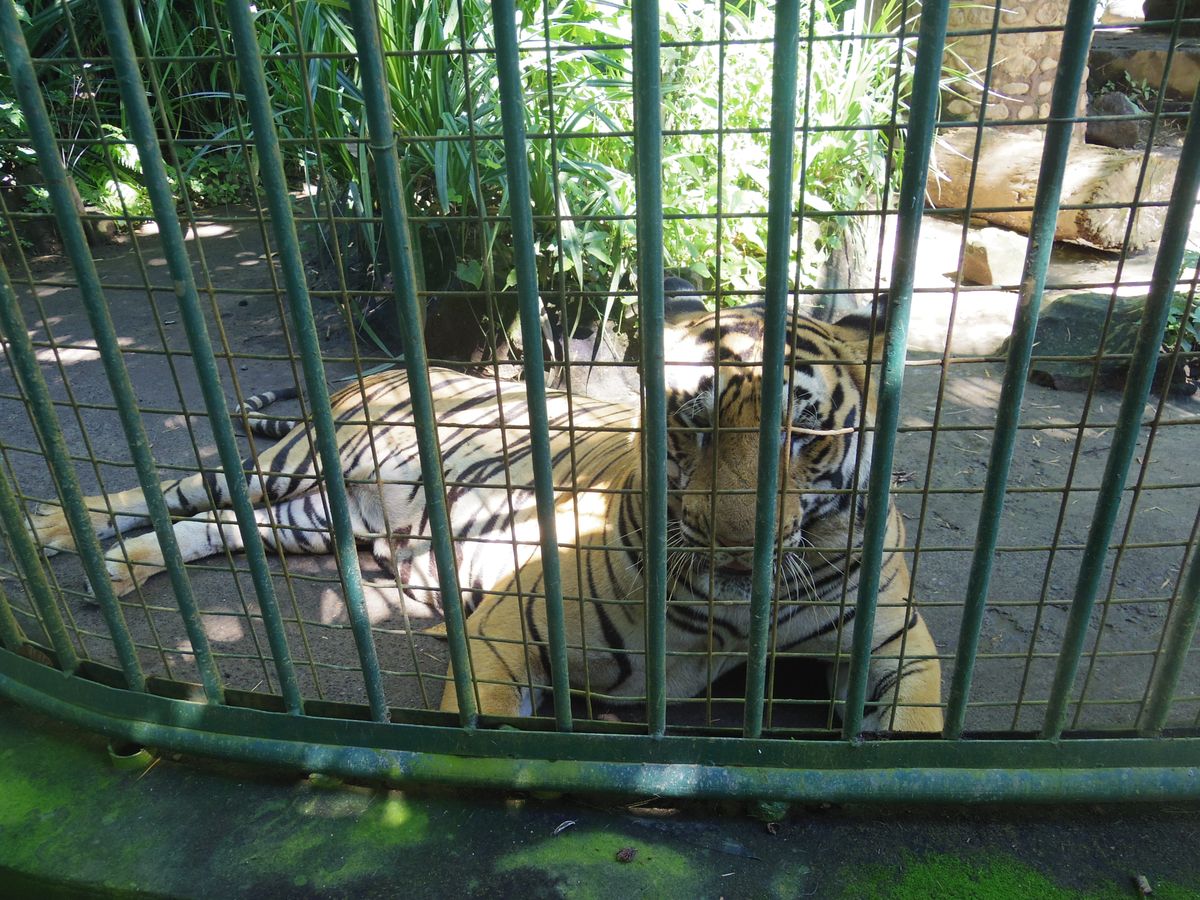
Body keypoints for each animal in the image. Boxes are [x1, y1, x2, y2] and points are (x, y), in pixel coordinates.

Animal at [26, 301, 942, 732]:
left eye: (806, 434)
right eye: (692, 423)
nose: (732, 543)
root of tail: (383, 367)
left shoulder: (898, 648)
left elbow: (915, 731)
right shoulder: (512, 624)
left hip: (316, 515)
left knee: (209, 529)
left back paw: (113, 570)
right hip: (289, 467)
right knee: (174, 489)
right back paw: (55, 528)